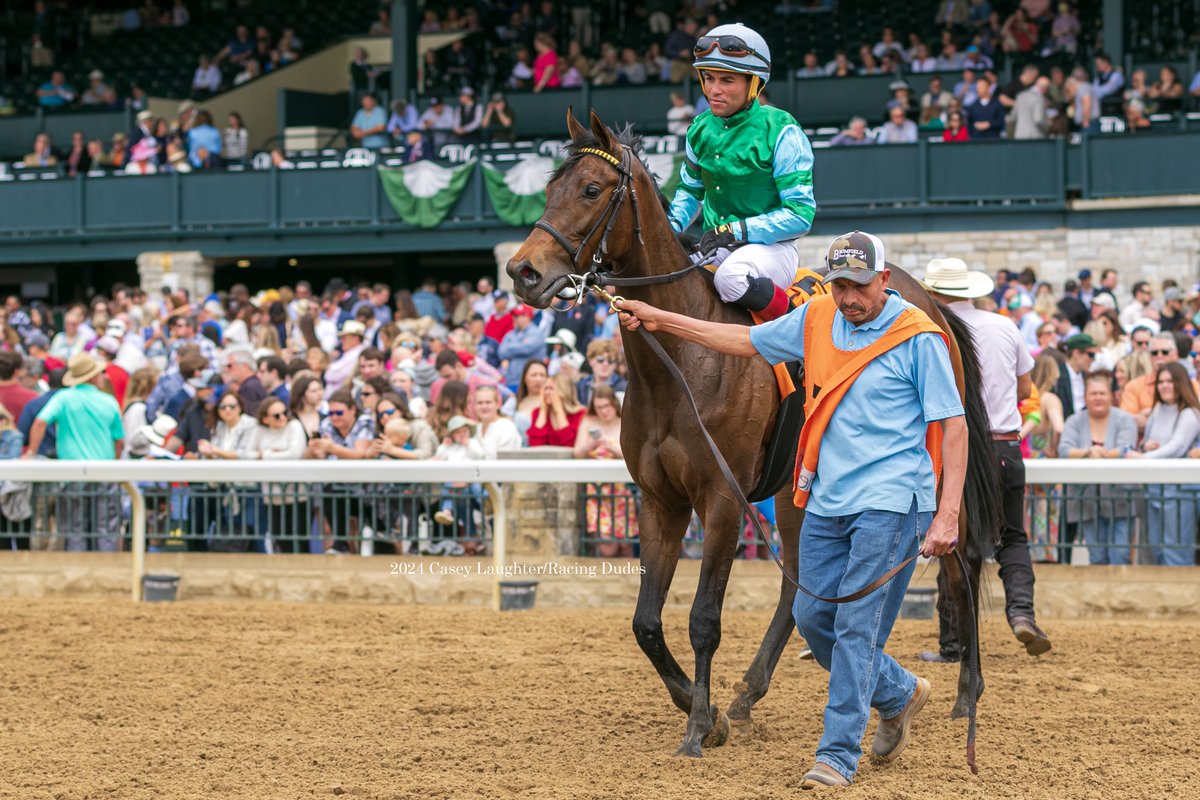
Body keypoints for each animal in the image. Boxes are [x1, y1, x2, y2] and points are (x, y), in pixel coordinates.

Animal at [501, 109, 998, 762]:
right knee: (800, 588)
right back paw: (748, 693)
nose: (523, 271)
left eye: (590, 189)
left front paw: (696, 727)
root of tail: (931, 303)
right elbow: (646, 623)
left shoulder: (721, 500)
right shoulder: (659, 500)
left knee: (961, 560)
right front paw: (704, 708)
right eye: (548, 188)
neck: (679, 363)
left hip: (935, 468)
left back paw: (968, 692)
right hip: (796, 488)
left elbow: (703, 618)